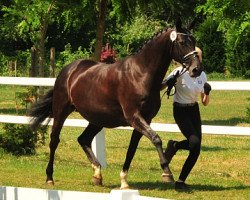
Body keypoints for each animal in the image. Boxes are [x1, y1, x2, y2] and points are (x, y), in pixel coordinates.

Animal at [29, 18, 201, 188]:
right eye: (182, 42)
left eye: (193, 41)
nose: (196, 69)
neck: (140, 74)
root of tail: (68, 70)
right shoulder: (134, 117)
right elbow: (156, 138)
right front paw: (167, 172)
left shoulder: (144, 120)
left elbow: (132, 149)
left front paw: (124, 180)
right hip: (61, 111)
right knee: (54, 140)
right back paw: (49, 177)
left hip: (98, 119)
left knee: (83, 139)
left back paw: (97, 174)